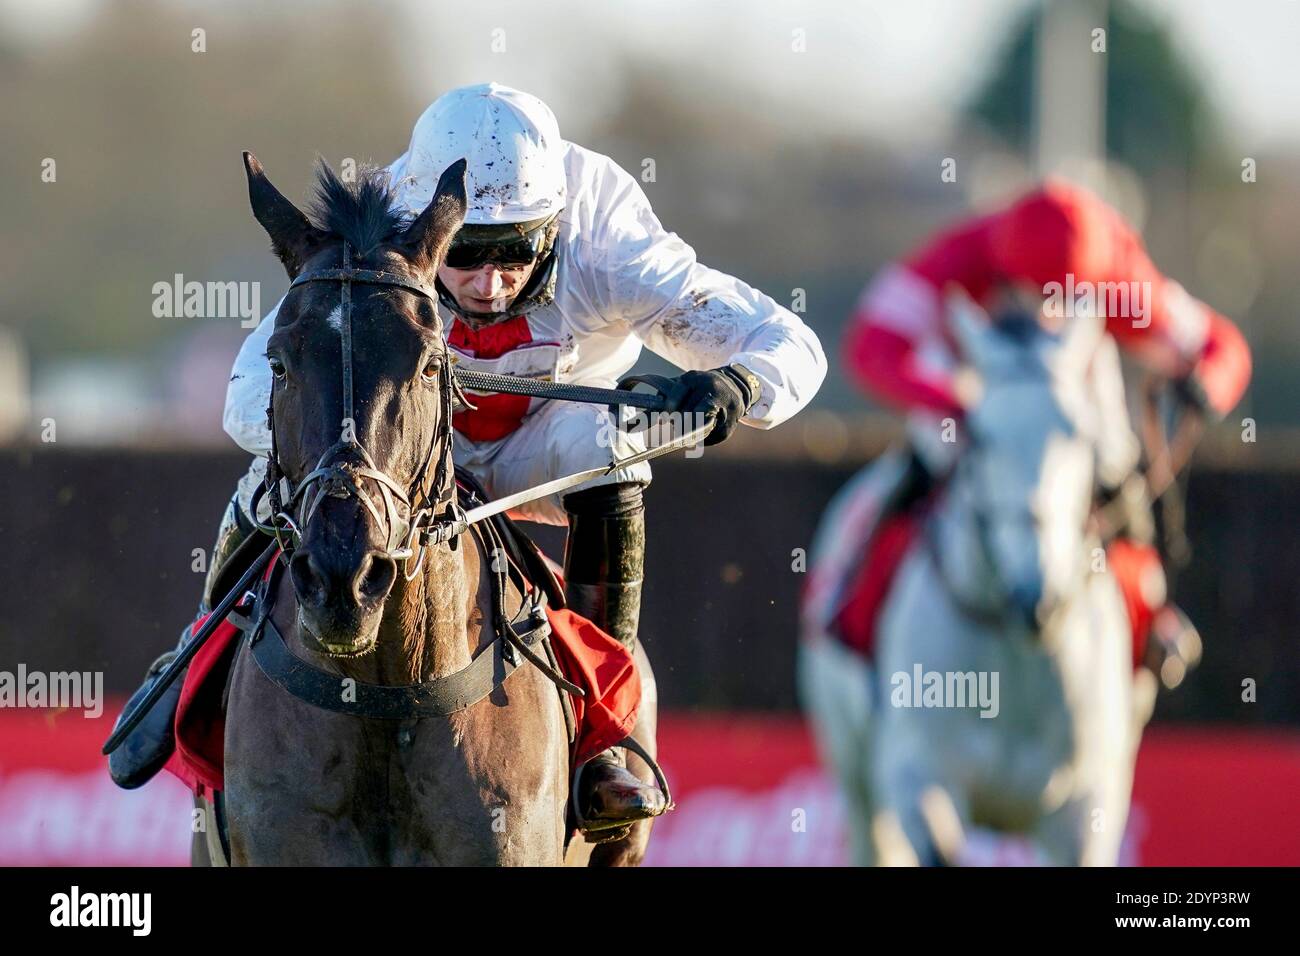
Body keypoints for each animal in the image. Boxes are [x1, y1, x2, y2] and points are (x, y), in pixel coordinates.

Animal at [800, 299, 1159, 868]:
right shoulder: (917, 774)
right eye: (984, 437)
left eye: (1077, 433)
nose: (1038, 595)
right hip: (854, 769)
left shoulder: (1086, 807)